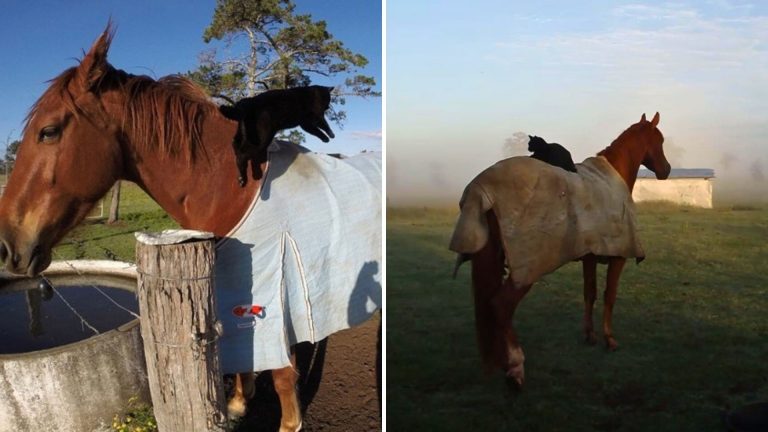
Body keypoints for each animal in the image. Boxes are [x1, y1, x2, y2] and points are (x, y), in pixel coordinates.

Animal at [0, 25, 380, 430]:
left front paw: (288, 424)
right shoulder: (236, 288)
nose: (8, 246)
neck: (229, 189)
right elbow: (244, 357)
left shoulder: (277, 292)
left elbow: (280, 372)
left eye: (48, 131)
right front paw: (238, 404)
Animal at [450, 113, 672, 386]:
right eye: (659, 140)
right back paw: (515, 366)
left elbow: (590, 293)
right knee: (501, 306)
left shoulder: (589, 255)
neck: (612, 176)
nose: (666, 170)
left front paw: (590, 335)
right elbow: (609, 296)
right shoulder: (619, 256)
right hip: (526, 270)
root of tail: (483, 188)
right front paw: (609, 339)